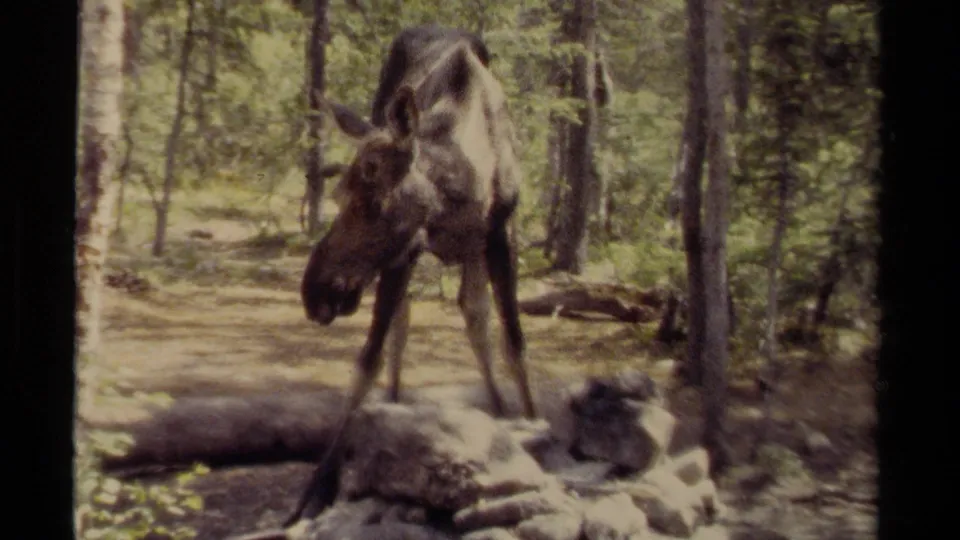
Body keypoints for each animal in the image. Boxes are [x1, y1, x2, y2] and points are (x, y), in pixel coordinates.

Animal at [285, 25, 539, 527]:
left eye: (372, 201)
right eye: (338, 194)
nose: (314, 292)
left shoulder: (500, 233)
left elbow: (514, 343)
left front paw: (530, 420)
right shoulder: (406, 250)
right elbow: (367, 361)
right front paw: (315, 492)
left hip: (471, 250)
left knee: (474, 313)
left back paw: (499, 409)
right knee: (404, 327)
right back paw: (396, 405)